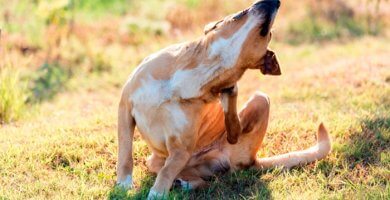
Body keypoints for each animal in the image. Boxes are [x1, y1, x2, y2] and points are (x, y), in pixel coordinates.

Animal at [114, 0, 330, 198]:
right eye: (239, 13)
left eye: (269, 34)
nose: (275, 1)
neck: (207, 67)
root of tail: (253, 160)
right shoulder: (125, 109)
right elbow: (125, 154)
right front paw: (124, 184)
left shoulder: (181, 150)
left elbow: (167, 171)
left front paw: (157, 193)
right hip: (158, 162)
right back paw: (181, 183)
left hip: (260, 100)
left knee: (213, 164)